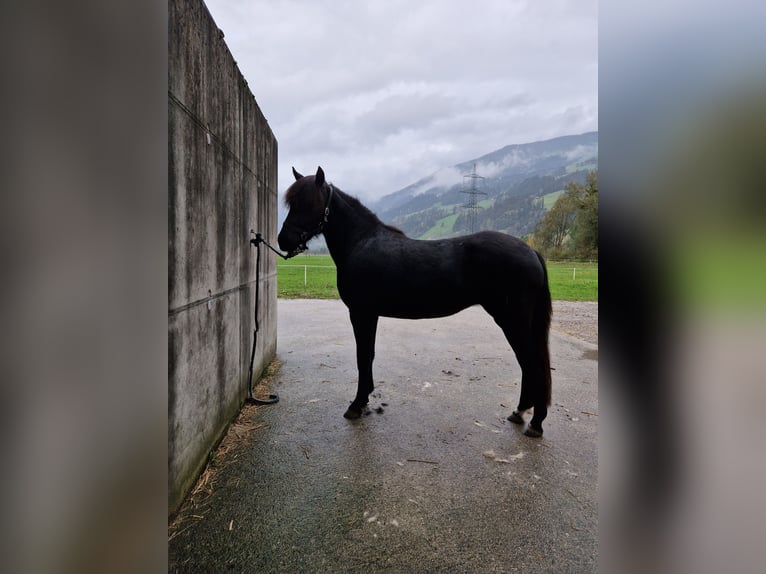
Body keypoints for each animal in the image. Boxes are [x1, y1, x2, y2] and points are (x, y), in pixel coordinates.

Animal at [280, 166, 556, 436]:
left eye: (308, 202)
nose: (283, 240)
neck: (361, 242)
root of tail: (531, 251)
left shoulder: (361, 313)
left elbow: (362, 356)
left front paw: (357, 405)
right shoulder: (370, 315)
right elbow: (369, 355)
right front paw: (366, 397)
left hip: (512, 320)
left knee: (532, 364)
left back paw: (536, 422)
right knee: (528, 364)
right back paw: (520, 412)